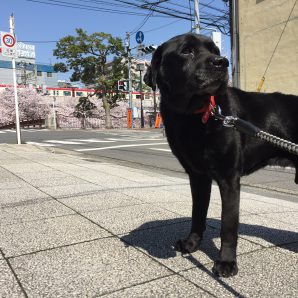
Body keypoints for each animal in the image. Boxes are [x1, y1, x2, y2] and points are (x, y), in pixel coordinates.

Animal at [145, 33, 298, 278]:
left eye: (215, 50)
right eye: (187, 51)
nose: (222, 62)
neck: (193, 116)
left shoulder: (229, 178)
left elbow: (228, 225)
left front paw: (226, 262)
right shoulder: (197, 176)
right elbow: (198, 213)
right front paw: (191, 244)